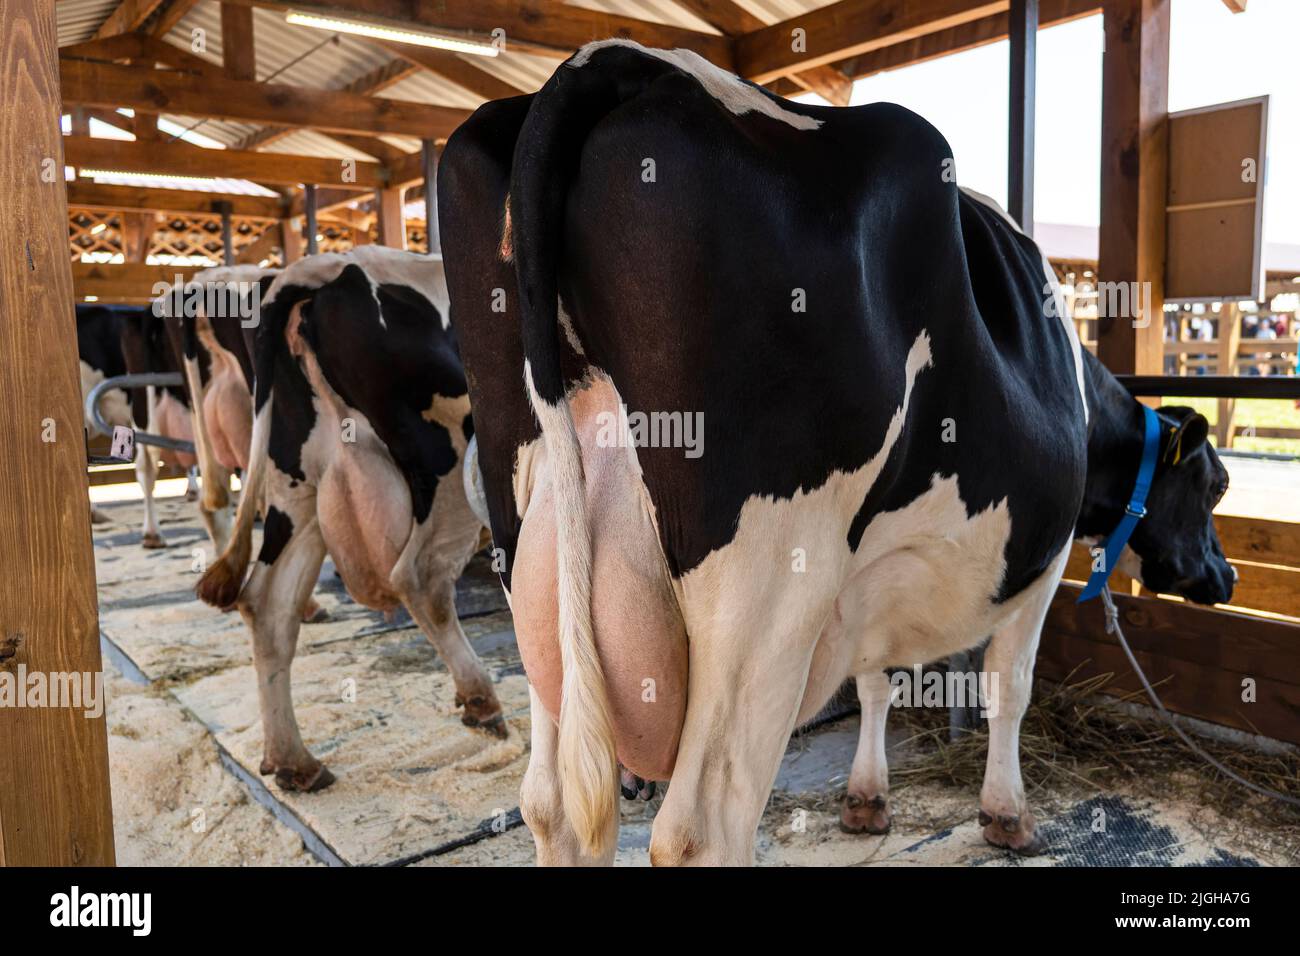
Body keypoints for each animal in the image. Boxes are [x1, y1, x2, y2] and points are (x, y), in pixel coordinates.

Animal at [194, 246, 505, 793]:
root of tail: (320, 269)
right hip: (442, 462)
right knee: (421, 577)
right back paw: (481, 701)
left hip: (297, 488)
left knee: (267, 603)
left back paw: (294, 761)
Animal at [438, 40, 1235, 866]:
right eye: (1215, 484)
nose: (1226, 575)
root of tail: (624, 59)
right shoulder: (1037, 569)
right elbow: (1007, 686)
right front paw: (1007, 813)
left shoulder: (870, 582)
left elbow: (876, 680)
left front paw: (866, 798)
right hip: (766, 587)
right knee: (702, 827)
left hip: (535, 559)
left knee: (554, 802)